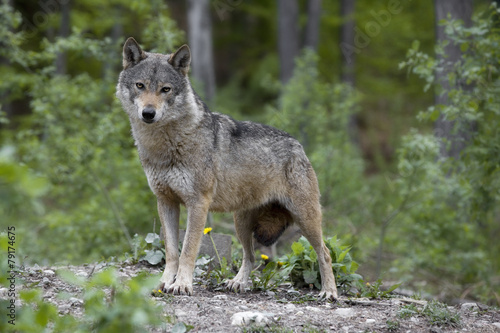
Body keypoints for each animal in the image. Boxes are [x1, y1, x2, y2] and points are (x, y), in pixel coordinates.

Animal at [115, 37, 338, 300]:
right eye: (140, 86)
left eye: (165, 89)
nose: (148, 113)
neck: (165, 146)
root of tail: (298, 145)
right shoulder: (165, 202)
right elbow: (171, 251)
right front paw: (163, 283)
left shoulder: (198, 204)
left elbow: (187, 250)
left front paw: (182, 285)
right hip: (241, 223)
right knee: (250, 256)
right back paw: (238, 283)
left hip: (305, 219)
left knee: (324, 252)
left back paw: (329, 292)